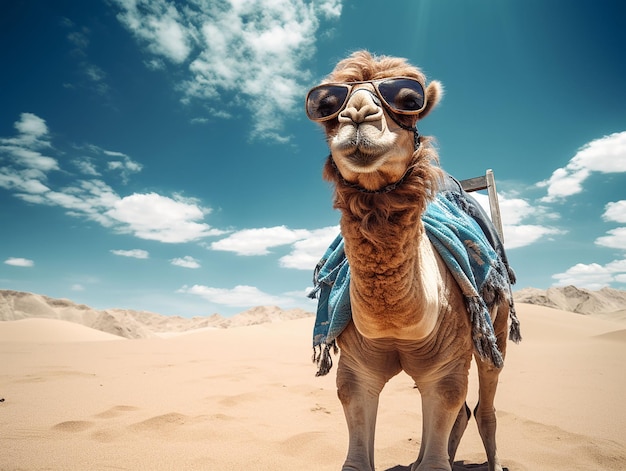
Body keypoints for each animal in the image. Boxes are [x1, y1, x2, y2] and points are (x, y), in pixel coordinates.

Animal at [306, 51, 516, 471]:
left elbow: (449, 407)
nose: (357, 114)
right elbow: (356, 459)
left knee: (484, 405)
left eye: (407, 99)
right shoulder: (356, 372)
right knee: (457, 412)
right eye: (326, 106)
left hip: (495, 330)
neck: (398, 326)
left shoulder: (448, 368)